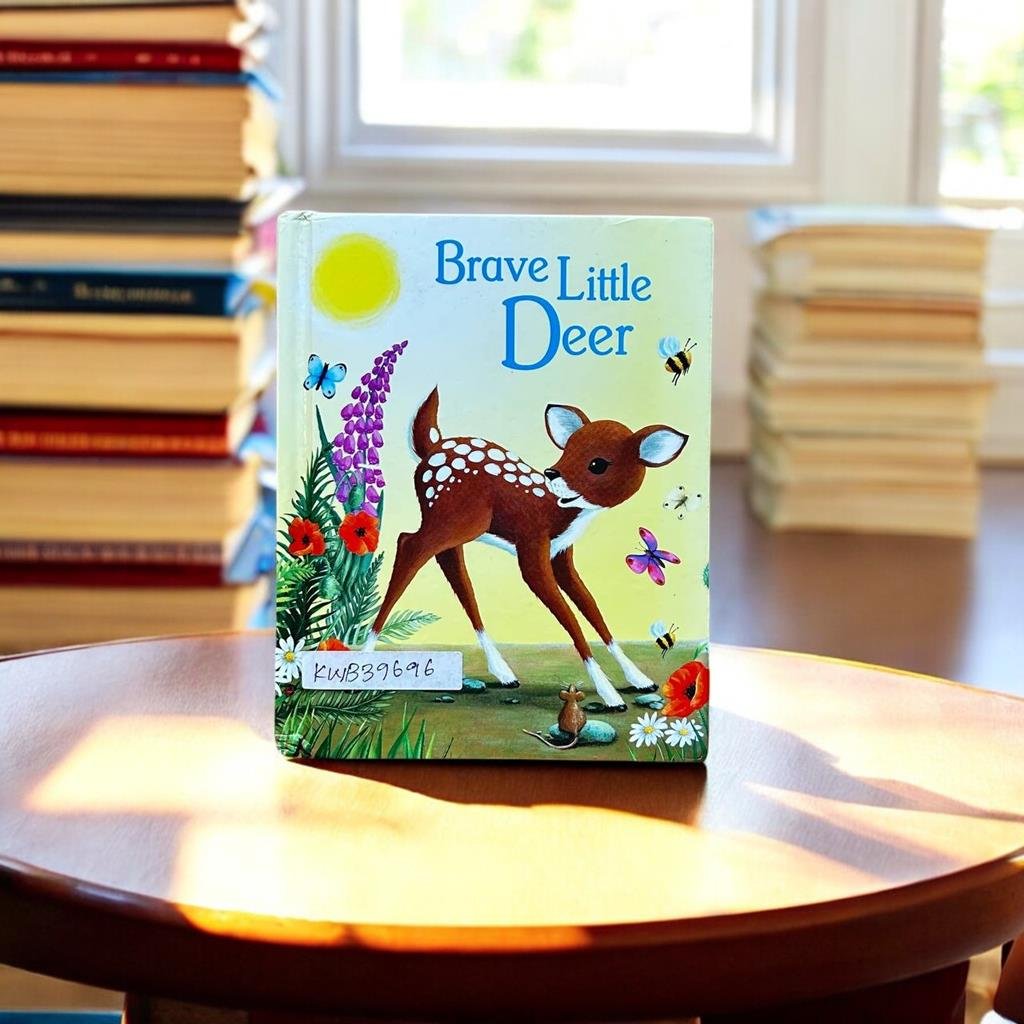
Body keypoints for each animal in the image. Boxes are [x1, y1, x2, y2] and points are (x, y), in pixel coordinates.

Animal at [361, 388, 688, 710]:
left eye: (598, 464)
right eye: (566, 450)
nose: (552, 472)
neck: (556, 514)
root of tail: (431, 448)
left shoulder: (561, 555)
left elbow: (592, 608)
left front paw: (640, 679)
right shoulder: (531, 544)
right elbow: (571, 618)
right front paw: (610, 695)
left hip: (455, 525)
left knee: (452, 566)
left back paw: (504, 672)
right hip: (454, 518)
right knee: (408, 543)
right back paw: (365, 655)